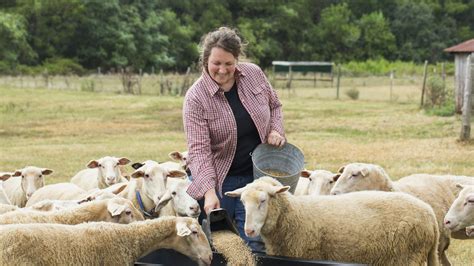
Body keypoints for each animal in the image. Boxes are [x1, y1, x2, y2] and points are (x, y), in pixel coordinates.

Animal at [226, 176, 440, 264]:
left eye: (263, 200)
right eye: (243, 202)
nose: (249, 231)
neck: (295, 213)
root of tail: (430, 214)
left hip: (408, 256)